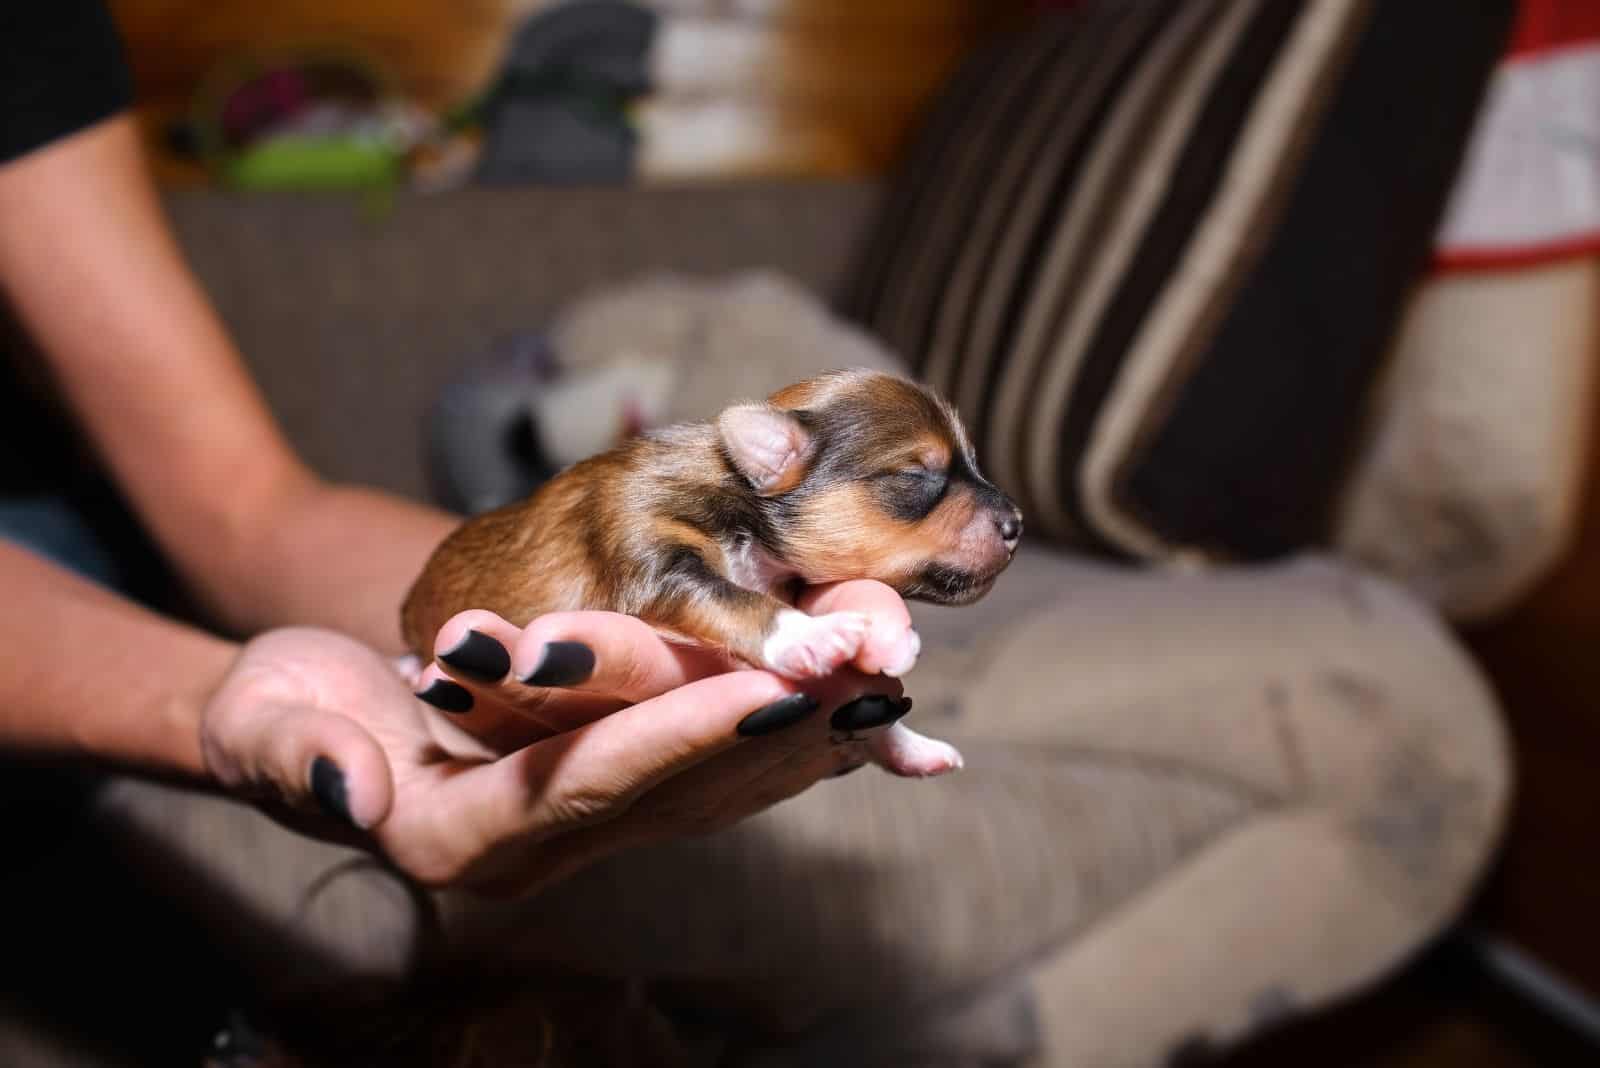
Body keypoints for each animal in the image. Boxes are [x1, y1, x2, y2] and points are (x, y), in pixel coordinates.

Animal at [403, 370, 1024, 770]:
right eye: (917, 475)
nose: (1018, 522)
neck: (733, 487)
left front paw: (911, 740)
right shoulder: (652, 554)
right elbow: (735, 600)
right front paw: (814, 637)